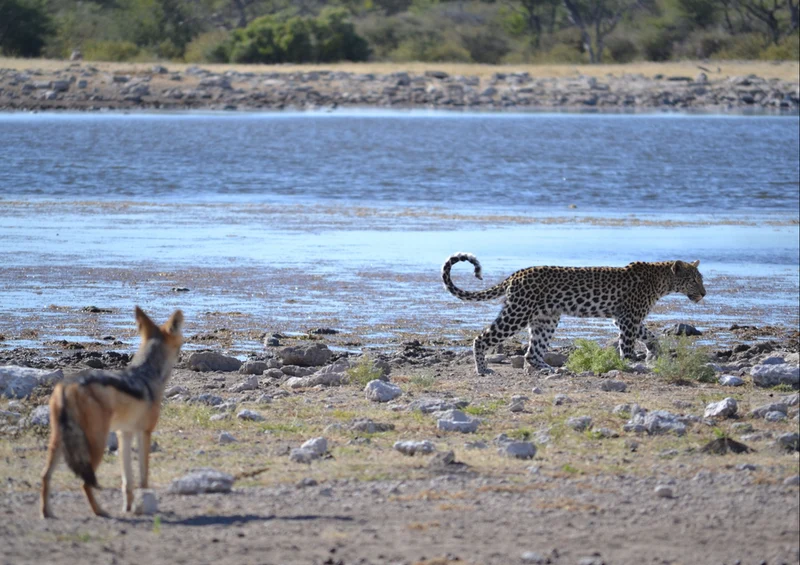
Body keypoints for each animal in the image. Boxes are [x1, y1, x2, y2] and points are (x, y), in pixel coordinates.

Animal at [441, 252, 706, 375]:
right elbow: (628, 344)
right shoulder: (628, 318)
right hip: (518, 313)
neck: (663, 281)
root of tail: (516, 274)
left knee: (532, 352)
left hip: (546, 319)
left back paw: (550, 370)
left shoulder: (624, 317)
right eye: (694, 280)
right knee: (482, 338)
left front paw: (654, 352)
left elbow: (650, 335)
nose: (704, 293)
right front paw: (630, 362)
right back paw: (483, 369)